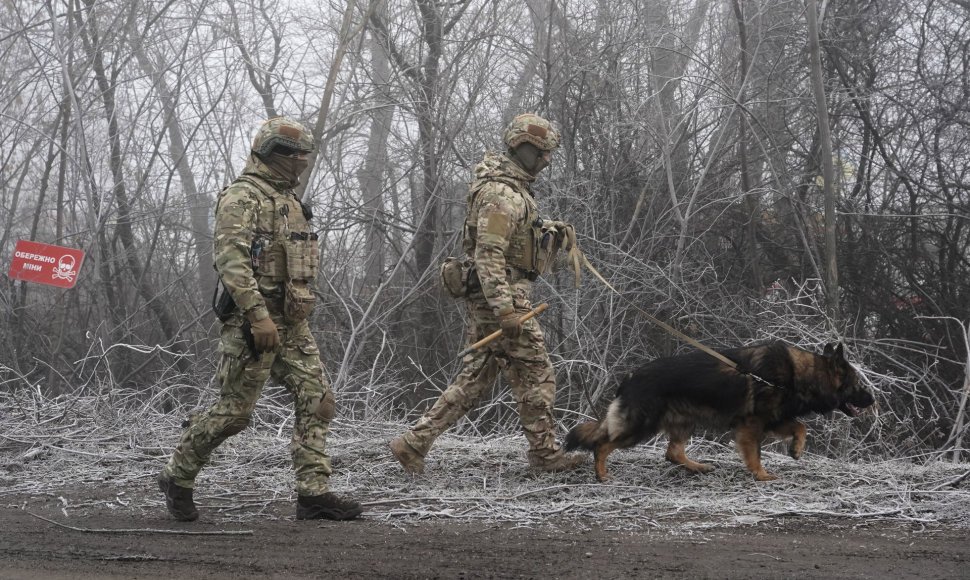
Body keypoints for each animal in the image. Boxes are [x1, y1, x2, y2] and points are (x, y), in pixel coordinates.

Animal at [564, 342, 872, 482]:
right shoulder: (753, 425)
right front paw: (761, 475)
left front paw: (796, 449)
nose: (873, 400)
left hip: (684, 422)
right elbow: (755, 453)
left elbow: (800, 427)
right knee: (602, 445)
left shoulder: (773, 419)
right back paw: (601, 474)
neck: (799, 375)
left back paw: (699, 466)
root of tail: (630, 376)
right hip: (640, 427)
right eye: (858, 383)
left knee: (672, 453)